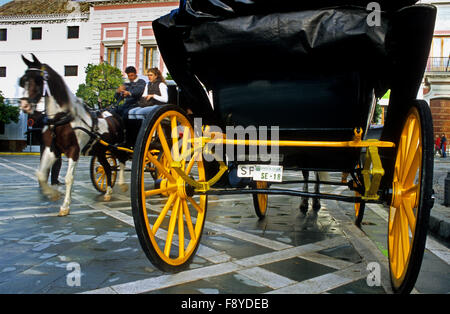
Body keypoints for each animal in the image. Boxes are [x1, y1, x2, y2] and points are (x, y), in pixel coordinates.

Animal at [19, 54, 128, 216]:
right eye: (22, 80)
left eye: (38, 80)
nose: (24, 106)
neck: (61, 119)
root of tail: (114, 115)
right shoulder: (52, 150)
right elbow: (41, 175)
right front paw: (53, 193)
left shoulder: (73, 150)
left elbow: (69, 178)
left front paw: (65, 206)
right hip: (101, 151)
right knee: (108, 168)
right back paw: (108, 192)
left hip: (116, 146)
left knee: (122, 160)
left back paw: (122, 184)